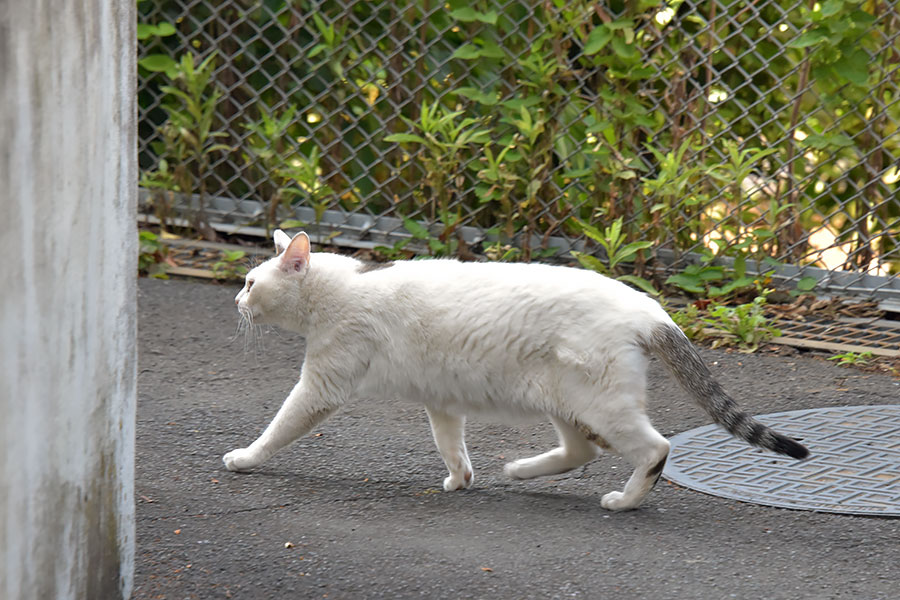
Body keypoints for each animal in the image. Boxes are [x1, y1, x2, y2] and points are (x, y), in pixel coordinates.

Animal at [223, 230, 808, 510]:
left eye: (251, 283)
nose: (236, 300)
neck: (339, 289)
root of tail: (651, 309)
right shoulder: (441, 400)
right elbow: (450, 444)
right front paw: (461, 479)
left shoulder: (321, 384)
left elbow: (279, 426)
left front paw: (245, 458)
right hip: (566, 401)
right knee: (583, 451)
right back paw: (520, 470)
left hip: (601, 402)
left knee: (654, 449)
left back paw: (624, 501)